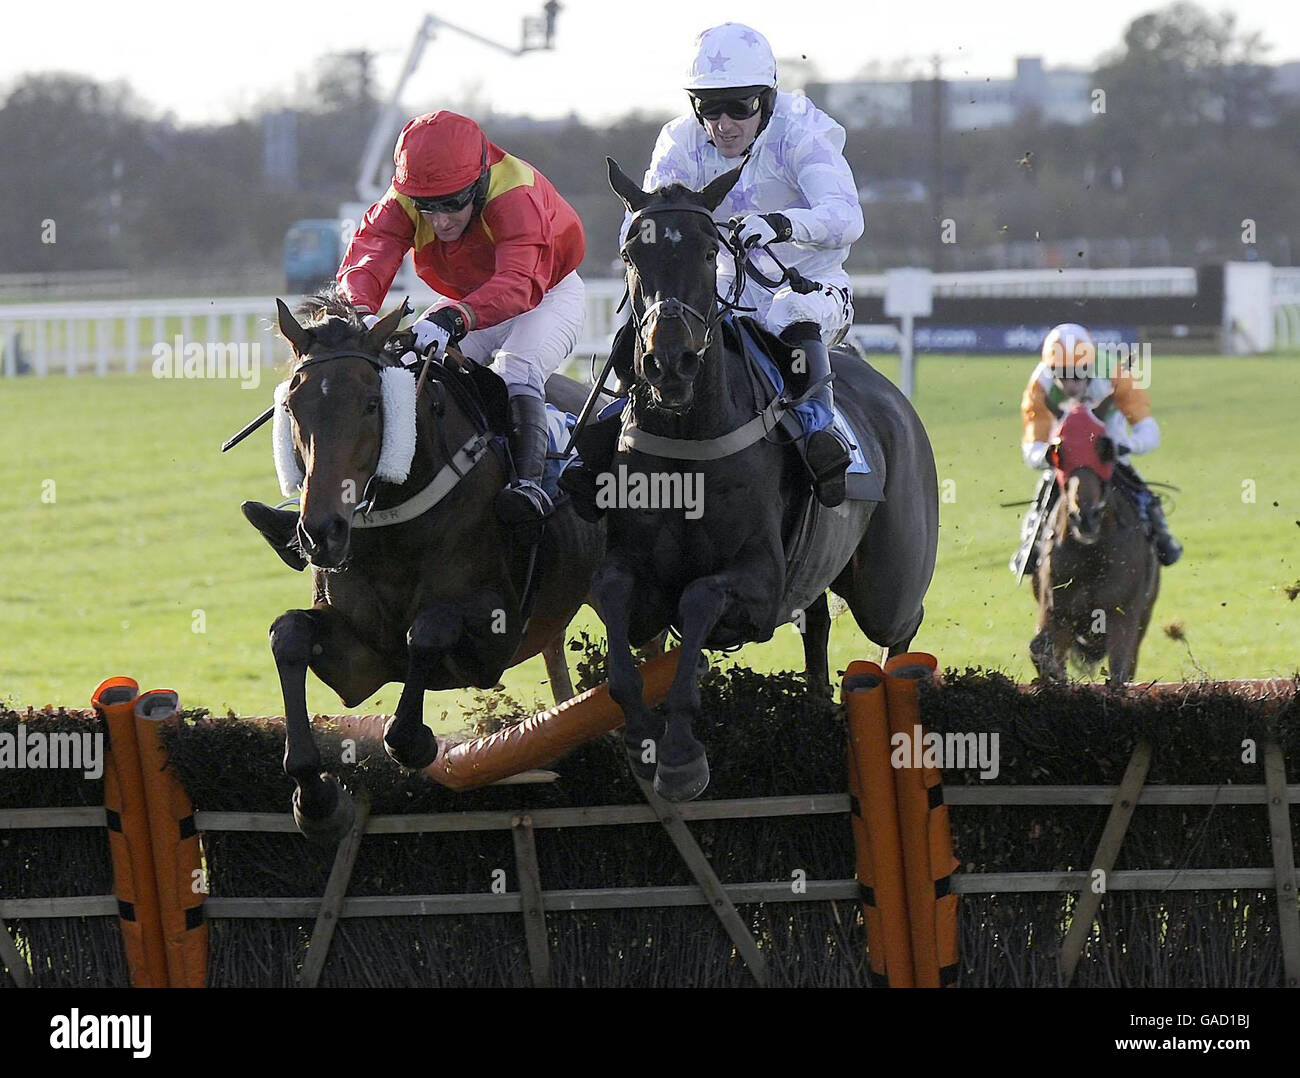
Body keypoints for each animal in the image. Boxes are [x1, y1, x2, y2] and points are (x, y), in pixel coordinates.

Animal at [267, 289, 608, 837]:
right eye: (294, 407)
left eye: (372, 404)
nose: (321, 532)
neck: (396, 527)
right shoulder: (358, 666)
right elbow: (289, 633)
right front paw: (316, 798)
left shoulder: (498, 636)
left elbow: (427, 630)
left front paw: (416, 740)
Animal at [595, 159, 941, 801]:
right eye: (631, 251)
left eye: (710, 250)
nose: (670, 362)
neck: (690, 439)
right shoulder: (635, 574)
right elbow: (614, 602)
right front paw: (642, 739)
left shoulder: (760, 583)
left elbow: (700, 596)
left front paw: (680, 753)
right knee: (819, 624)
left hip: (890, 579)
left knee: (902, 622)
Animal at [1029, 403, 1164, 681]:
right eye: (1058, 452)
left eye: (1105, 449)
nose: (1085, 516)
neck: (1092, 554)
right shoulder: (1055, 613)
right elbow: (1040, 651)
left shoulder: (1123, 613)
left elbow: (1119, 672)